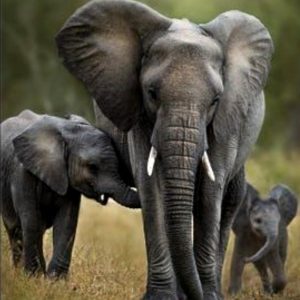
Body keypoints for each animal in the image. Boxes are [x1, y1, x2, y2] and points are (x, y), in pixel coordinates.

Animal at [0, 110, 138, 278]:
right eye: (92, 167)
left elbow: (66, 222)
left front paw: (55, 280)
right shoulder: (22, 172)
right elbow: (31, 220)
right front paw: (34, 278)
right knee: (16, 229)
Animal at [56, 1, 274, 298]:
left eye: (216, 100)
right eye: (151, 93)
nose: (196, 294)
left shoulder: (227, 119)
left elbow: (210, 193)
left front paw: (208, 295)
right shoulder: (138, 114)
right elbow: (152, 189)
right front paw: (162, 296)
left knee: (229, 201)